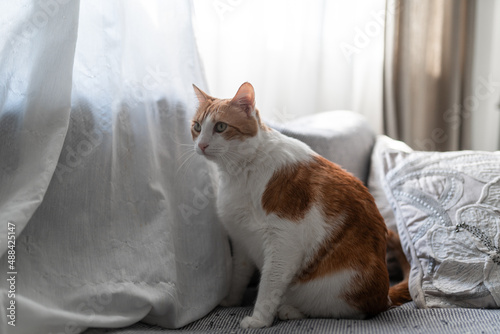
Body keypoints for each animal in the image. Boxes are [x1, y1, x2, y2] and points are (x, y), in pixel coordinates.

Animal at [189, 82, 412, 328]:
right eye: (197, 127)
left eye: (220, 127)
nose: (202, 145)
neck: (240, 171)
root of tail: (385, 295)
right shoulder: (241, 240)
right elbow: (239, 276)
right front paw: (231, 300)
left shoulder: (285, 243)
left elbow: (269, 285)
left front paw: (259, 320)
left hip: (338, 284)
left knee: (345, 310)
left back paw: (290, 310)